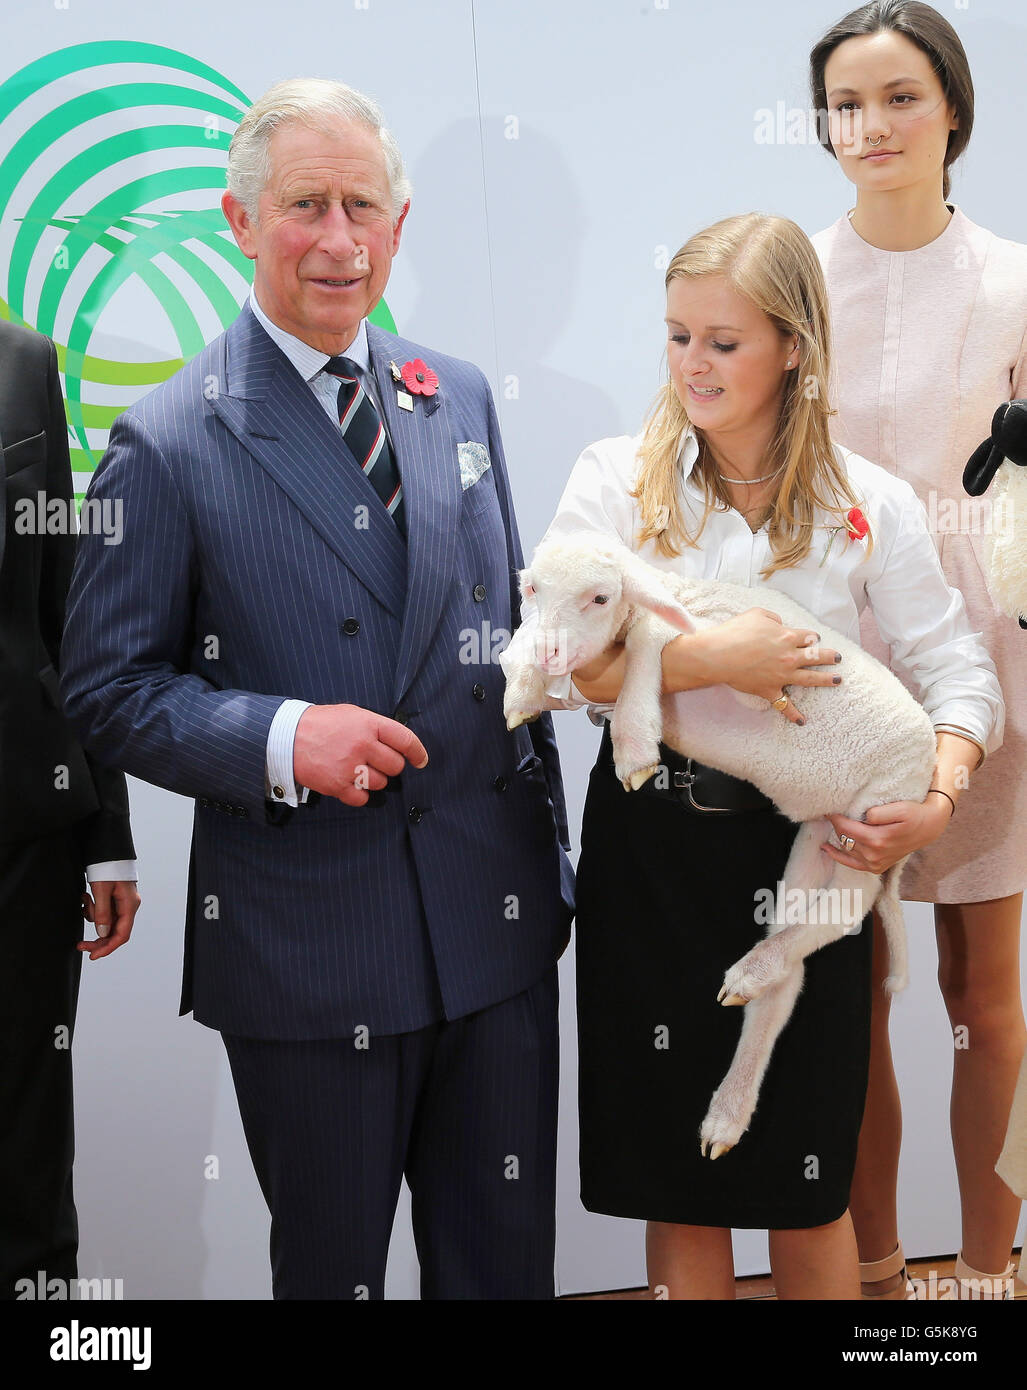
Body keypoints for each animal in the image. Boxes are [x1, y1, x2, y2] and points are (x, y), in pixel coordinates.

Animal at [500, 536, 939, 1156]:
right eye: (533, 588)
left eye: (600, 597)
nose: (550, 655)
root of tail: (927, 772)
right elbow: (516, 648)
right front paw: (521, 690)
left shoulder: (750, 671)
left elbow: (648, 638)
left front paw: (634, 748)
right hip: (819, 835)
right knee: (795, 960)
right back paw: (732, 1096)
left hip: (876, 810)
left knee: (852, 907)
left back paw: (752, 976)